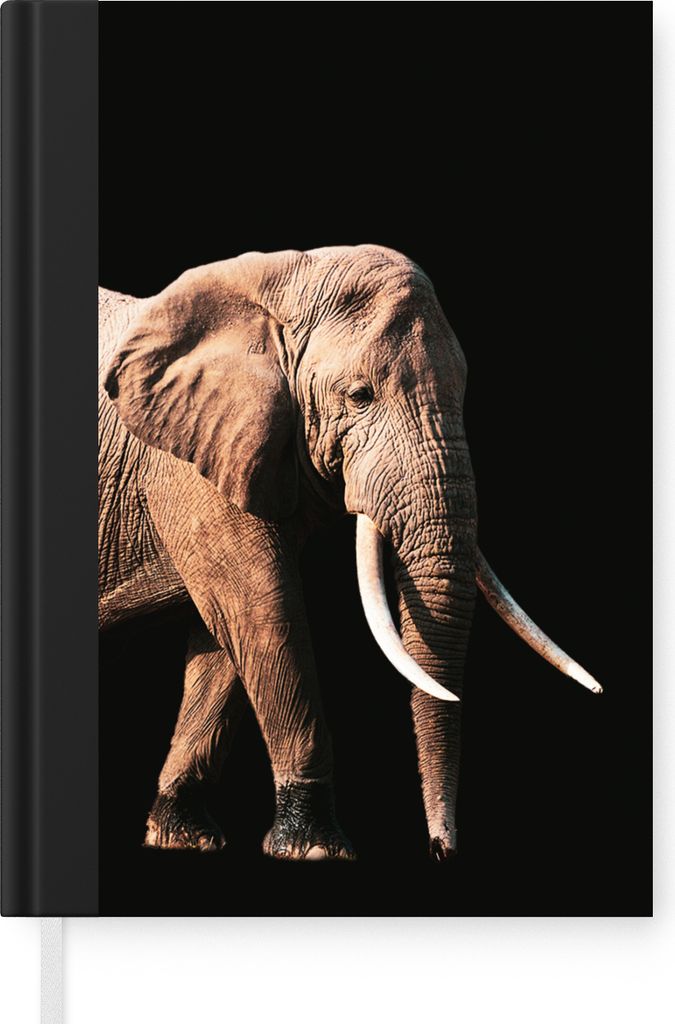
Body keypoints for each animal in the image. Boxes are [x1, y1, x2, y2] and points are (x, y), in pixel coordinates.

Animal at [99, 244, 601, 861]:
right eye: (359, 396)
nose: (441, 849)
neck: (284, 278)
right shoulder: (188, 463)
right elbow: (263, 609)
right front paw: (315, 848)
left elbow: (224, 636)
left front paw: (182, 837)